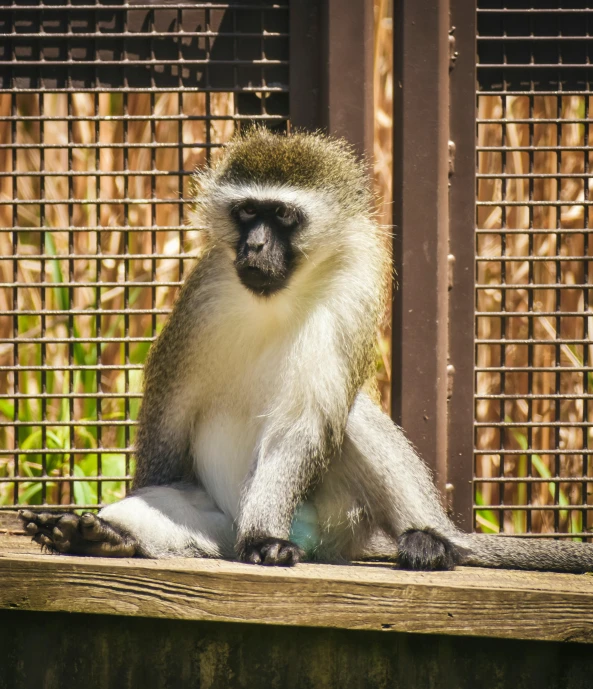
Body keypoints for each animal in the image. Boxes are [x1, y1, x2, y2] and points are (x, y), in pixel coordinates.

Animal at [19, 127, 593, 568]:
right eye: (247, 213)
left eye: (282, 216)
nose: (254, 245)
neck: (278, 298)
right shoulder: (202, 300)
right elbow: (168, 422)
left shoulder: (354, 286)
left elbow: (302, 424)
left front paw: (265, 542)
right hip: (218, 527)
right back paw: (106, 538)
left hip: (336, 519)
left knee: (350, 416)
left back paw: (430, 539)